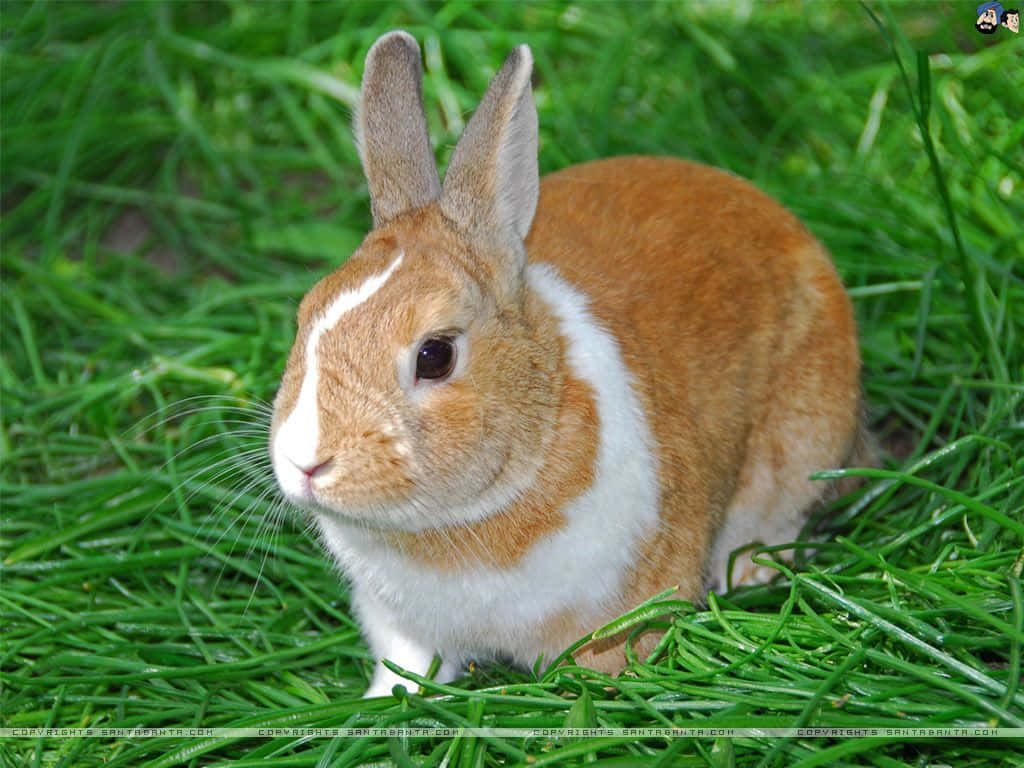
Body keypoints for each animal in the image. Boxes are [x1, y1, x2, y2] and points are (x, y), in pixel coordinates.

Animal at [269, 31, 871, 698]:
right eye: (305, 314)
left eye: (435, 355)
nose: (305, 462)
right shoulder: (402, 626)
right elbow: (408, 665)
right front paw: (387, 701)